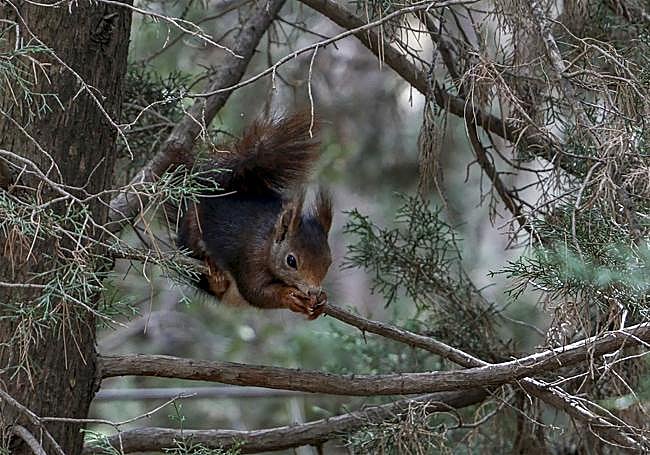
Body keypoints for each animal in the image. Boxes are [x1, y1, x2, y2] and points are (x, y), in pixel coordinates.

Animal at [175, 112, 332, 320]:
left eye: (329, 261)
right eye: (291, 261)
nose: (313, 291)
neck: (268, 244)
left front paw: (322, 300)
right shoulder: (250, 258)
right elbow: (254, 292)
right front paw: (289, 296)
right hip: (192, 237)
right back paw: (215, 274)